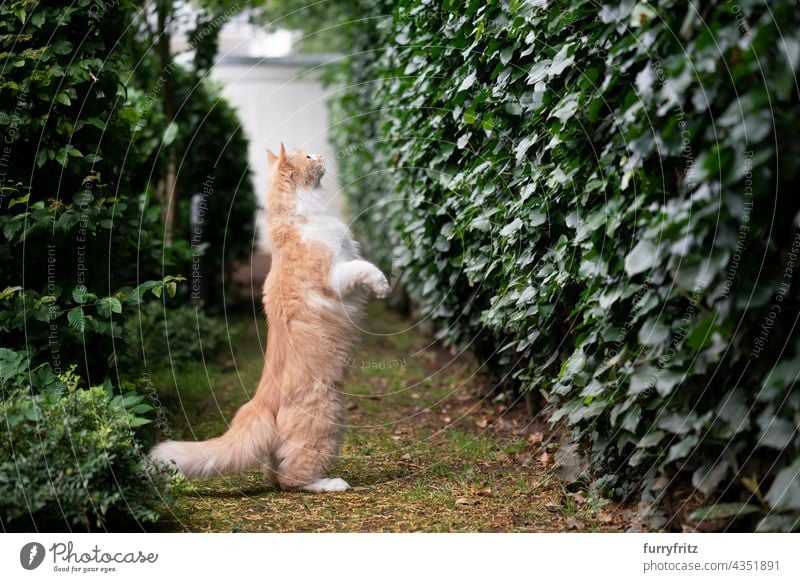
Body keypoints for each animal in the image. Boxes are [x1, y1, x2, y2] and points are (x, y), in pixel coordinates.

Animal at [150, 145, 390, 492]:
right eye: (308, 157)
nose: (320, 156)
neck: (298, 216)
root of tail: (261, 401)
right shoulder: (337, 275)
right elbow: (365, 268)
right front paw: (384, 286)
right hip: (327, 419)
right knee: (292, 478)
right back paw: (330, 484)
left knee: (275, 473)